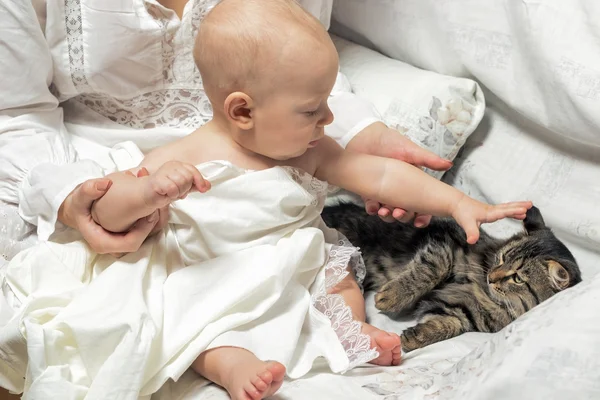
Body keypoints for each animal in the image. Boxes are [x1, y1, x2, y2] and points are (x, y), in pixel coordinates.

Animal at [324, 203, 580, 350]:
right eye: (502, 258)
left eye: (517, 279)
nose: (492, 277)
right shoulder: (445, 243)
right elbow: (429, 269)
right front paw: (393, 296)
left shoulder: (460, 312)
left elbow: (446, 326)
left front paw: (415, 337)